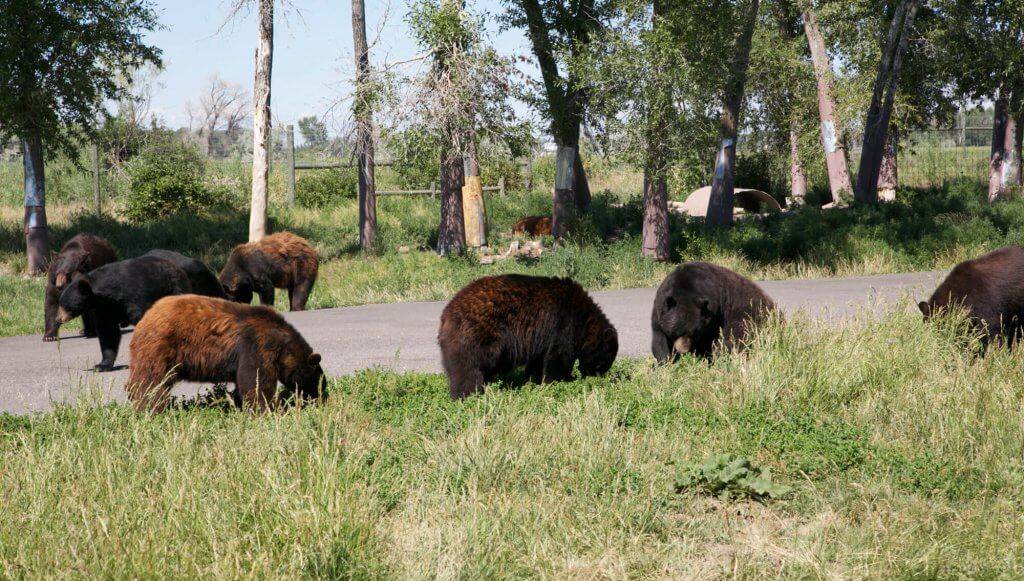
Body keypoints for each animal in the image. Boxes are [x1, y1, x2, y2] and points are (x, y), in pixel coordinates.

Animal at [57, 256, 192, 372]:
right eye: (60, 302)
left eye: (65, 304)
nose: (58, 319)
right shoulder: (104, 309)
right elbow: (108, 333)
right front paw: (102, 365)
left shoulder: (135, 298)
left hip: (175, 290)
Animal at [125, 295, 323, 413]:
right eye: (319, 380)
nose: (320, 396)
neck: (283, 344)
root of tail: (144, 319)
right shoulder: (256, 346)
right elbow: (256, 380)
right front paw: (265, 408)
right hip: (160, 348)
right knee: (151, 381)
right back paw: (151, 407)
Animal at [438, 276, 618, 399]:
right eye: (605, 361)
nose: (599, 377)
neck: (584, 319)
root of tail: (446, 314)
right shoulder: (563, 325)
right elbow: (558, 358)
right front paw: (560, 381)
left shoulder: (541, 338)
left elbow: (538, 361)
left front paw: (533, 381)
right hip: (478, 335)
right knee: (468, 367)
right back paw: (467, 394)